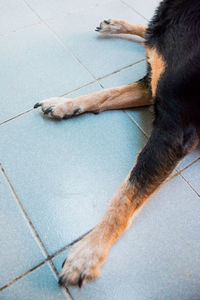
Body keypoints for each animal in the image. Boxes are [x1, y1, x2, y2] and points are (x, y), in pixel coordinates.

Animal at [33, 0, 199, 288]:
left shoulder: (173, 131)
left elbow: (126, 194)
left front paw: (89, 251)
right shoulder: (151, 85)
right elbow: (106, 93)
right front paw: (65, 104)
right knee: (148, 32)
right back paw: (117, 25)